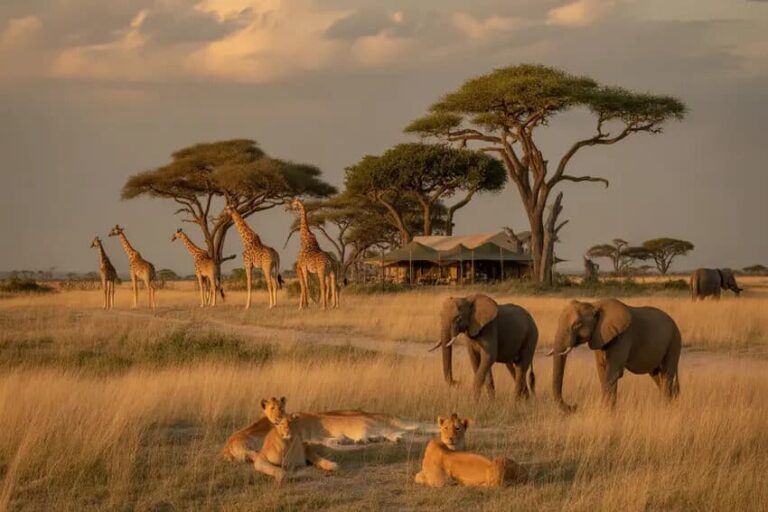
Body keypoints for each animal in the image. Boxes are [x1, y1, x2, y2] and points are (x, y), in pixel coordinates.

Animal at [549, 299, 681, 411]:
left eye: (578, 324)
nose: (575, 406)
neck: (594, 305)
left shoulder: (622, 337)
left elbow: (612, 373)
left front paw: (606, 411)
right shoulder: (600, 337)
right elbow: (602, 371)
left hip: (674, 341)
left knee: (666, 374)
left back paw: (666, 407)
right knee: (657, 375)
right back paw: (670, 403)